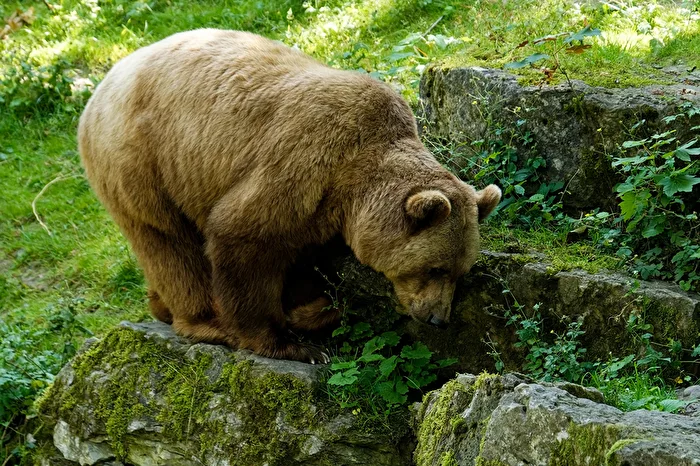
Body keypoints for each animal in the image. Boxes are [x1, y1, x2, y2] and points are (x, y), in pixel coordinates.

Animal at [78, 29, 501, 363]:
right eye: (435, 268)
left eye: (461, 272)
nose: (438, 318)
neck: (355, 178)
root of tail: (101, 88)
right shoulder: (304, 160)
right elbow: (243, 237)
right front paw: (290, 344)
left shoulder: (323, 209)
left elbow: (306, 261)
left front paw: (311, 309)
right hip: (143, 160)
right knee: (168, 242)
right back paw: (206, 321)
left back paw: (161, 306)